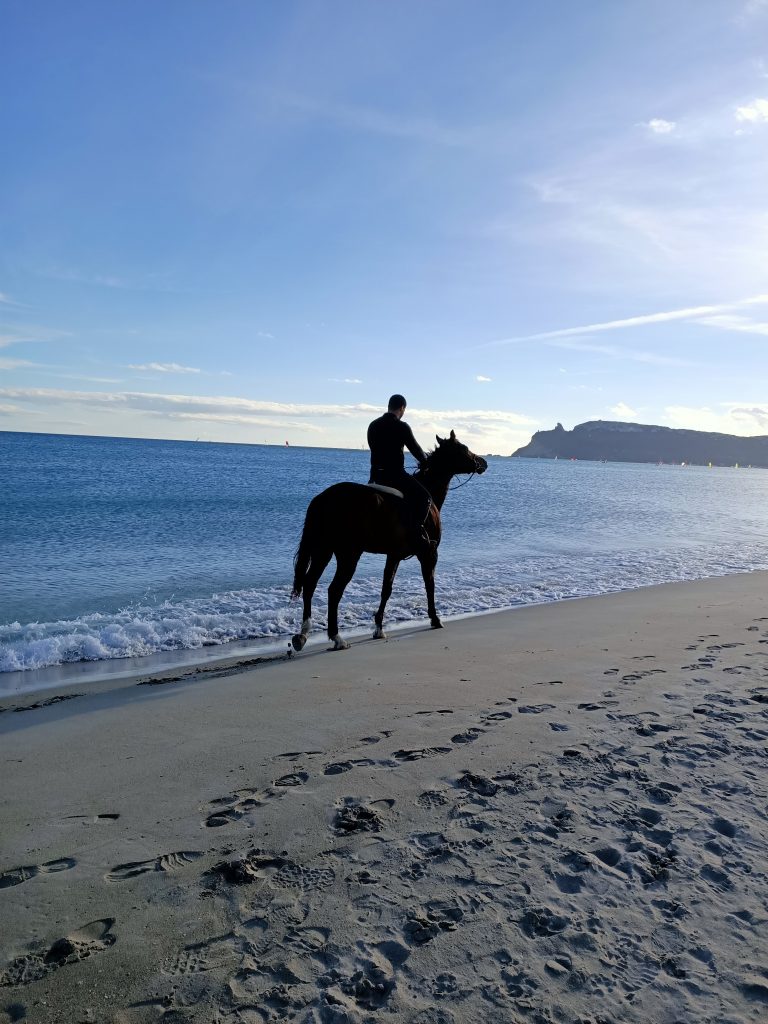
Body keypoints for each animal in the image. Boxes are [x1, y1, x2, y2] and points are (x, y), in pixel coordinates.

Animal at [290, 431, 488, 651]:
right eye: (463, 448)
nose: (483, 462)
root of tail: (324, 498)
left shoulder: (394, 555)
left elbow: (386, 589)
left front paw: (379, 627)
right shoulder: (429, 553)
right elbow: (430, 584)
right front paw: (435, 618)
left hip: (323, 550)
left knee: (309, 584)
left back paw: (303, 634)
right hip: (349, 555)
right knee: (334, 590)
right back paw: (337, 638)